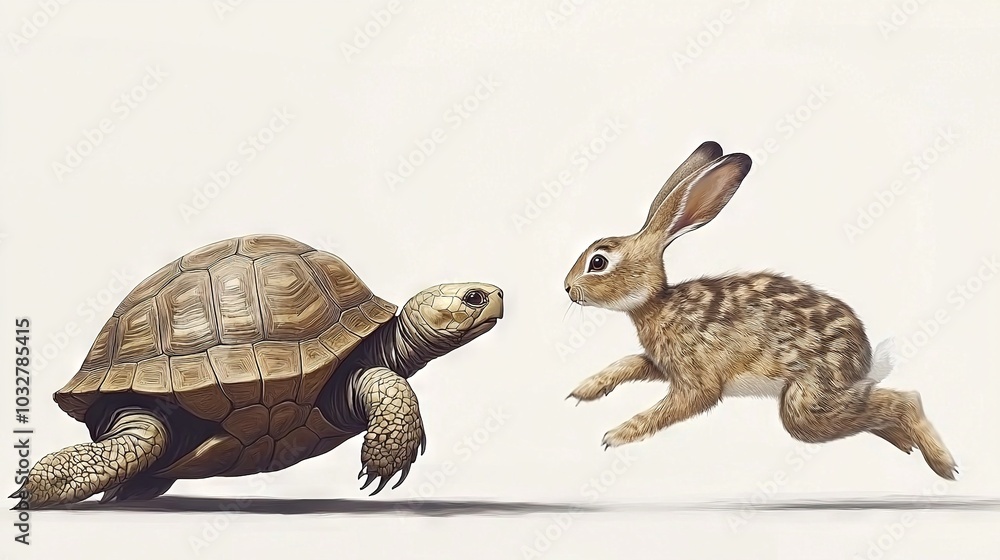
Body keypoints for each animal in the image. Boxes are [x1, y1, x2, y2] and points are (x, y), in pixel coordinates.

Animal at [563, 141, 957, 480]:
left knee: (903, 400)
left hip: (804, 404)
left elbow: (677, 406)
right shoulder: (662, 364)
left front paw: (617, 434)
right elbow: (628, 363)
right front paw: (585, 390)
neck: (658, 303)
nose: (567, 288)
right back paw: (906, 443)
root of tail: (864, 357)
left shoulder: (697, 379)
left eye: (598, 262)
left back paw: (943, 464)